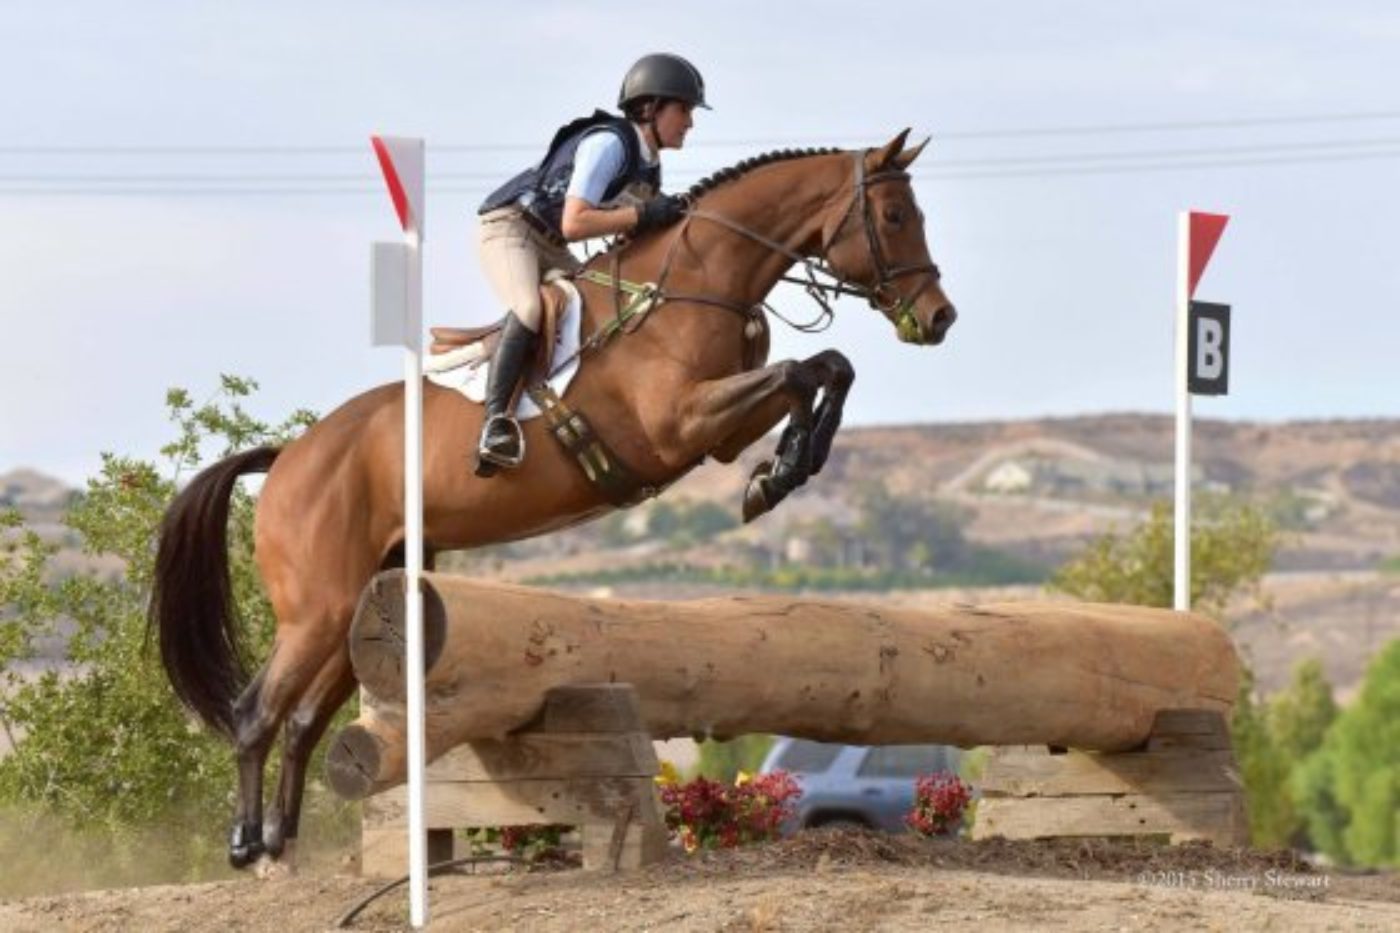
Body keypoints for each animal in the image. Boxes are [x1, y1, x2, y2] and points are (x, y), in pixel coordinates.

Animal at [153, 127, 957, 868]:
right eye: (893, 216)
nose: (939, 317)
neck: (692, 280)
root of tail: (291, 456)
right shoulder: (679, 424)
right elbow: (801, 369)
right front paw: (784, 470)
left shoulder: (718, 432)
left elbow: (825, 366)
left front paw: (781, 471)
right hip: (316, 606)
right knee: (255, 713)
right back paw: (246, 846)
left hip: (363, 599)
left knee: (301, 721)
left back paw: (281, 843)